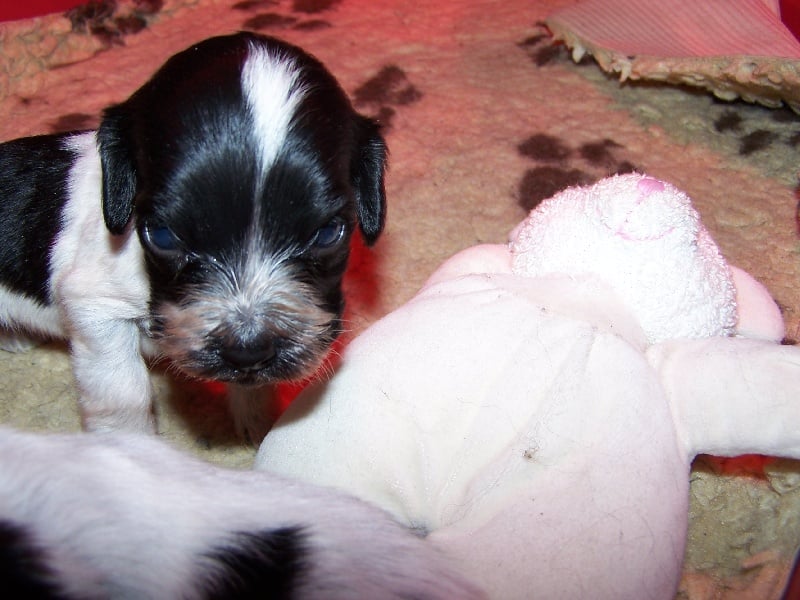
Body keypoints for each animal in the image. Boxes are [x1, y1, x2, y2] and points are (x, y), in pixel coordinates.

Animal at [0, 32, 387, 442]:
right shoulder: (95, 310)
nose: (248, 349)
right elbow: (125, 395)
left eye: (328, 234)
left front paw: (259, 426)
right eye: (163, 237)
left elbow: (255, 388)